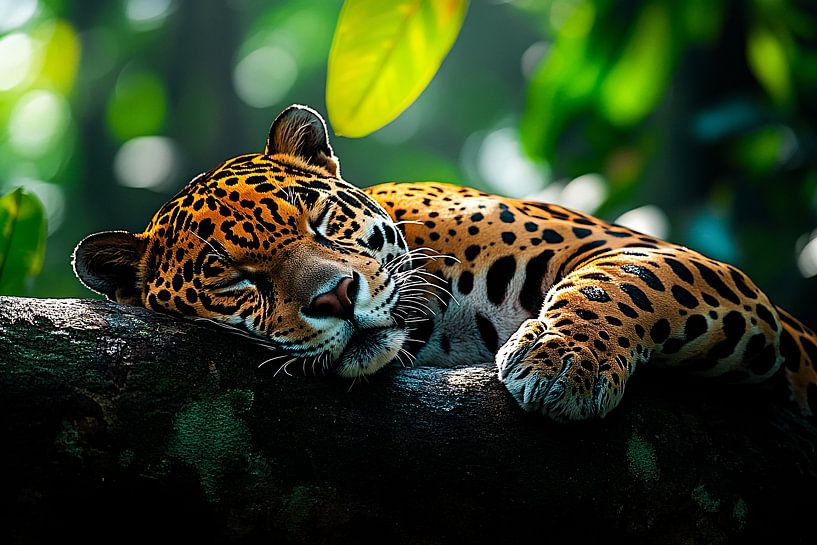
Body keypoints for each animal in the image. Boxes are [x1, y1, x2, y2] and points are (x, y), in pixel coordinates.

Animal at [73, 104, 817, 421]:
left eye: (317, 218)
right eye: (232, 276)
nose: (336, 297)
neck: (438, 330)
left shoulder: (670, 259)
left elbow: (626, 279)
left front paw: (564, 360)